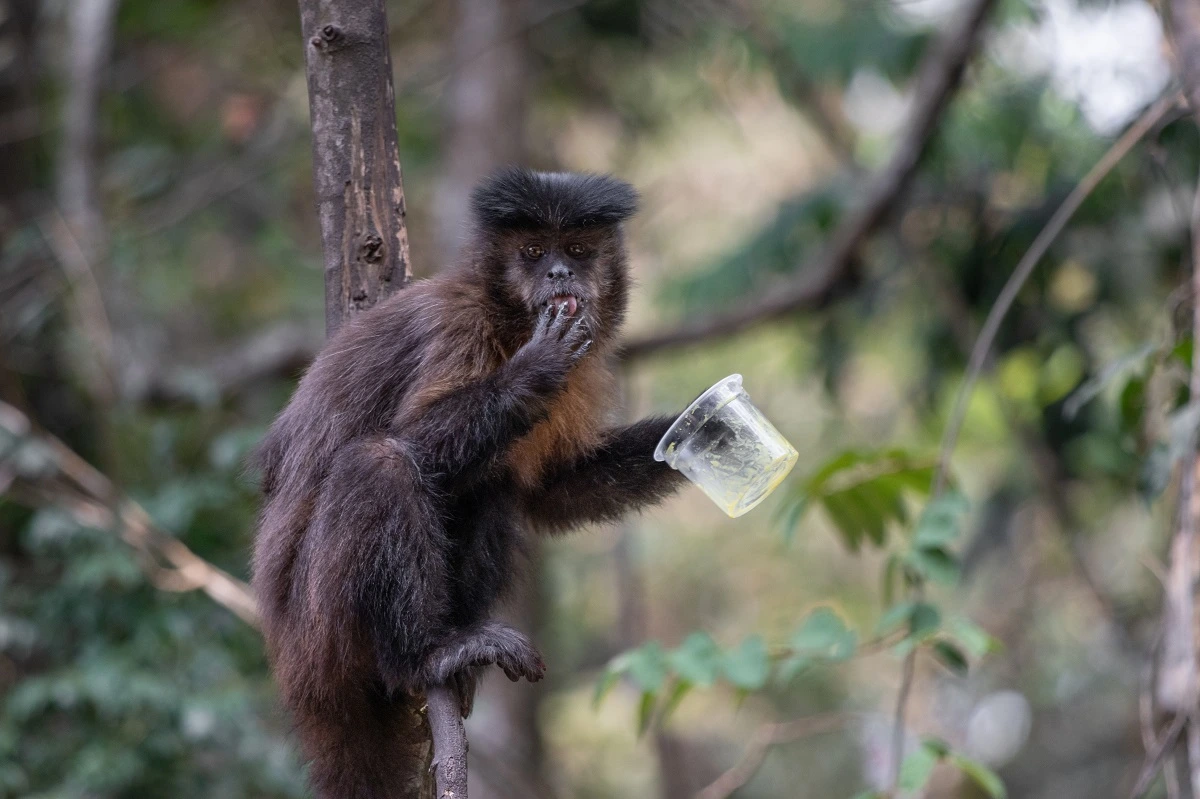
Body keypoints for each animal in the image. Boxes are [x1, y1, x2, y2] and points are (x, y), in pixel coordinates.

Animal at [250, 164, 686, 791]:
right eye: (533, 252)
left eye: (577, 251)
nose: (559, 274)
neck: (509, 322)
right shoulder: (458, 330)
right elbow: (412, 442)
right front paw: (532, 372)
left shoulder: (587, 363)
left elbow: (549, 492)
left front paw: (706, 433)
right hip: (318, 631)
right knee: (381, 462)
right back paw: (425, 657)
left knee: (493, 485)